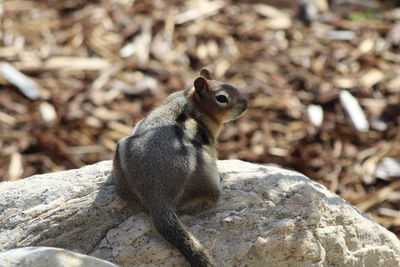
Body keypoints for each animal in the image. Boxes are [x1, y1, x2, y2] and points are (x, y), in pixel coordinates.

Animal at [112, 68, 248, 266]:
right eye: (222, 98)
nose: (246, 104)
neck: (190, 99)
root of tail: (158, 197)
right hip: (204, 169)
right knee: (212, 196)